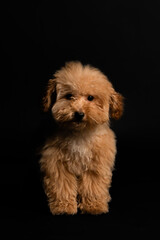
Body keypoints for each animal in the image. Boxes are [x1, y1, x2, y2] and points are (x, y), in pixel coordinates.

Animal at [40, 61, 124, 215]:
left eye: (90, 98)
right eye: (69, 96)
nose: (79, 114)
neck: (80, 133)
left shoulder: (96, 164)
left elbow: (93, 186)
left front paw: (94, 206)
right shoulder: (57, 164)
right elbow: (62, 186)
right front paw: (63, 207)